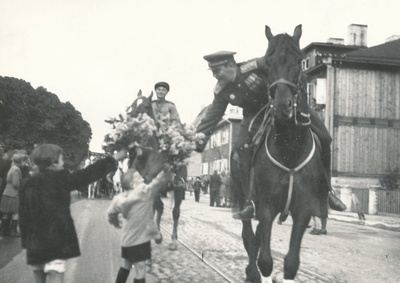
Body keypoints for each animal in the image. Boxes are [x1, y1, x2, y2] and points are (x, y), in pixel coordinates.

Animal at [127, 90, 187, 251]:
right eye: (131, 104)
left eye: (146, 106)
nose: (130, 118)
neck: (148, 154)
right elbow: (151, 207)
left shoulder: (154, 185)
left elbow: (157, 207)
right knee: (157, 207)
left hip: (178, 189)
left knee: (175, 212)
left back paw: (172, 240)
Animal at [241, 25, 328, 282]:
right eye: (267, 63)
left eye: (299, 61)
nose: (282, 107)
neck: (290, 148)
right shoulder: (266, 206)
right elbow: (266, 260)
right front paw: (259, 270)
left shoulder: (304, 210)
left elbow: (290, 263)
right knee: (250, 238)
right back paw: (251, 272)